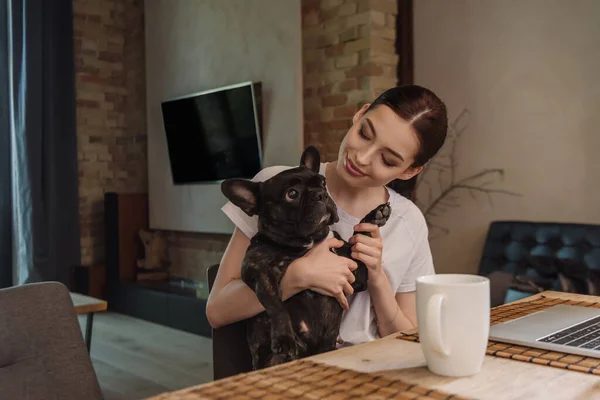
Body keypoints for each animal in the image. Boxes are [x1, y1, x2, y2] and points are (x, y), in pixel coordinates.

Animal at [220, 145, 390, 368]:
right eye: (292, 194)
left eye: (323, 183)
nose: (320, 194)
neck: (309, 241)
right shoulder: (259, 272)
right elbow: (276, 304)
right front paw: (284, 337)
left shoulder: (355, 275)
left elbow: (357, 237)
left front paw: (375, 215)